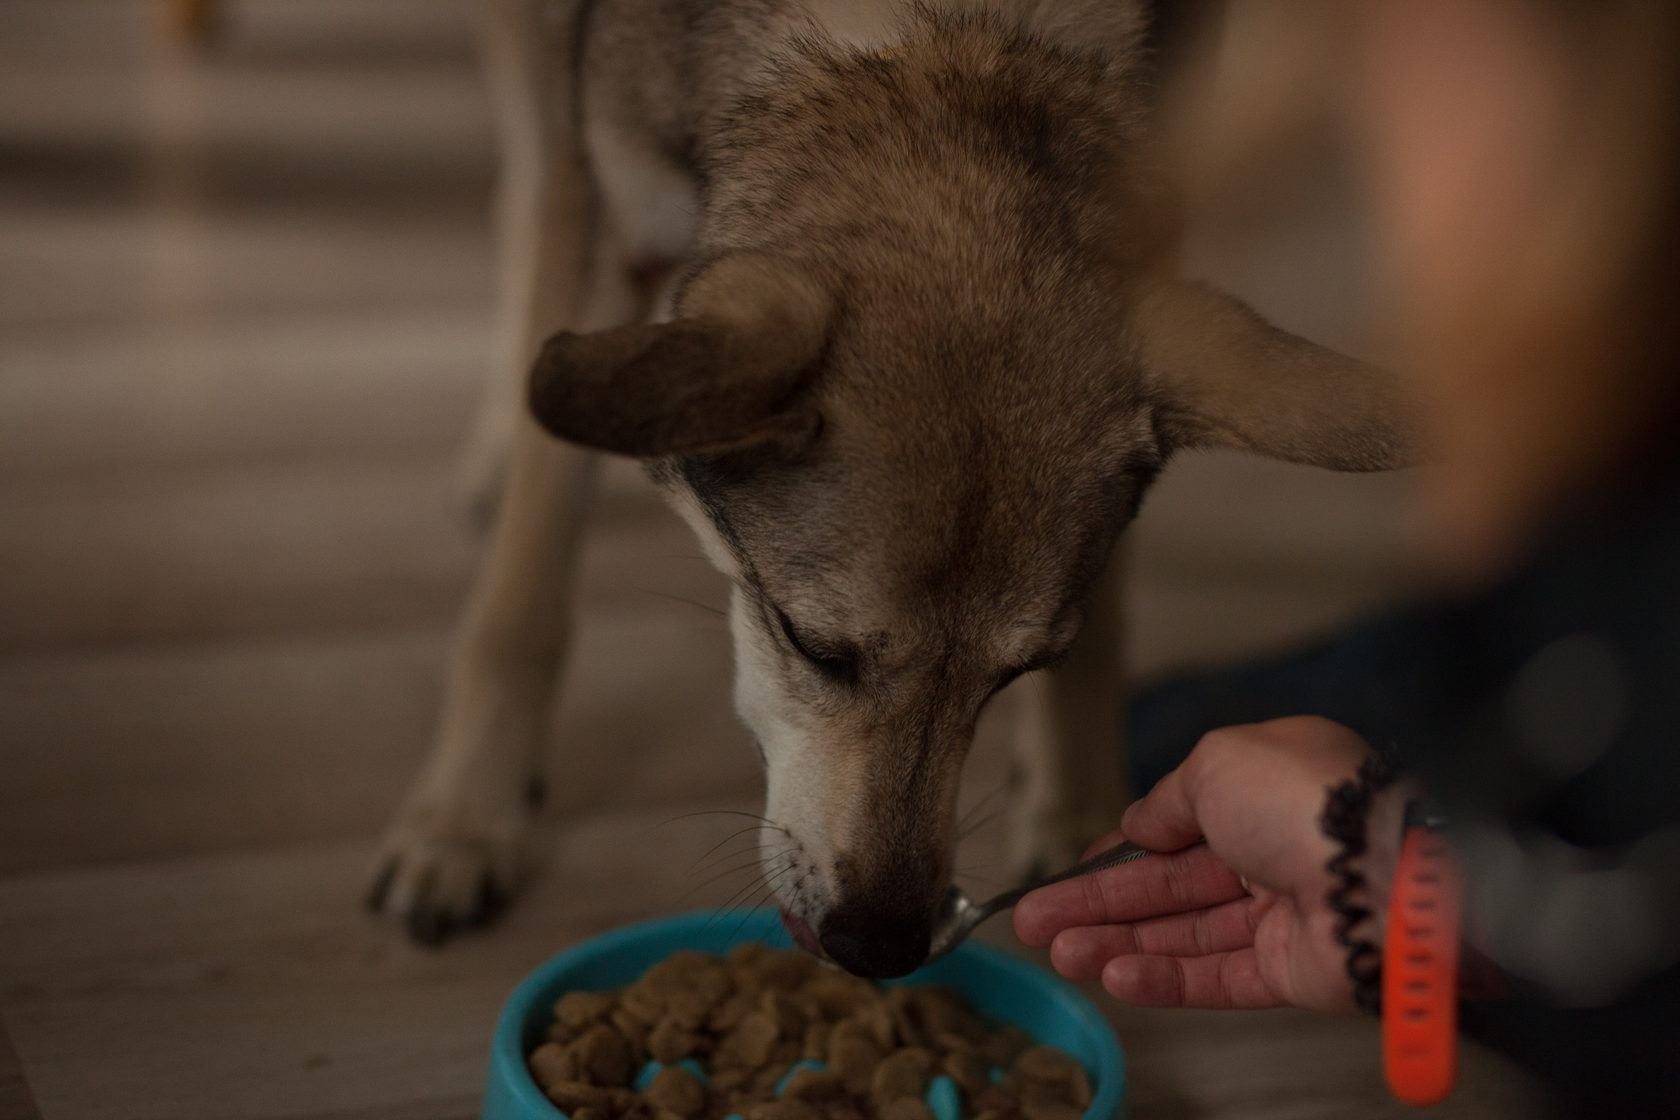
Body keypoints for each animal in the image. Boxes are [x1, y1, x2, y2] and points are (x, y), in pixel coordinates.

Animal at [371, 0, 1417, 973]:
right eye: (811, 644)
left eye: (1017, 673)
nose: (881, 949)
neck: (938, 34)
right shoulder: (609, 217)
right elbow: (520, 599)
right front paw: (462, 824)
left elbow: (1105, 616)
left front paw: (1082, 809)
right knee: (527, 190)